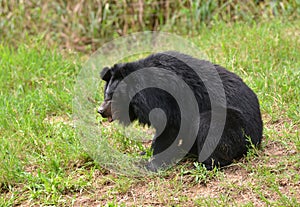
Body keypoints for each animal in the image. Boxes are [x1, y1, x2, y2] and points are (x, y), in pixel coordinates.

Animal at [98, 51, 262, 171]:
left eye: (112, 97)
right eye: (106, 95)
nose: (100, 111)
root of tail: (258, 137)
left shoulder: (166, 100)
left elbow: (168, 130)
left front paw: (152, 164)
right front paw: (145, 153)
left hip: (235, 125)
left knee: (210, 125)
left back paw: (204, 164)